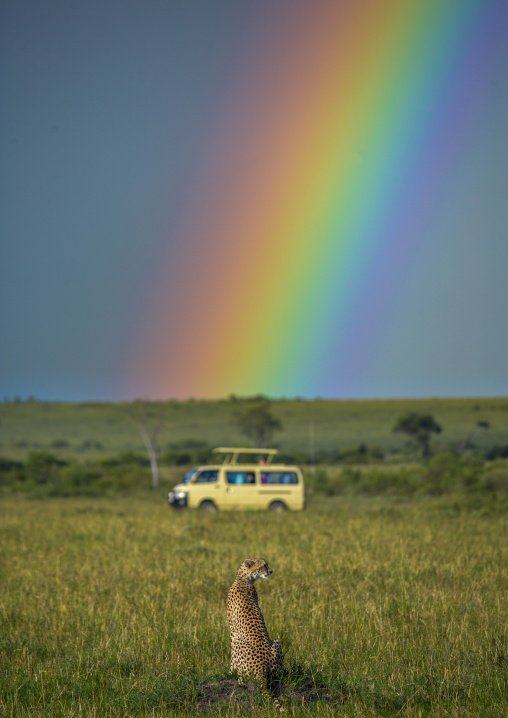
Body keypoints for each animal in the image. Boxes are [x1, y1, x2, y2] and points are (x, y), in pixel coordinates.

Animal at [227, 558, 283, 709]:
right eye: (264, 565)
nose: (271, 571)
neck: (243, 579)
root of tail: (262, 667)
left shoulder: (233, 631)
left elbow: (231, 657)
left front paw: (229, 672)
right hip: (276, 643)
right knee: (277, 675)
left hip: (239, 641)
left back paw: (239, 678)